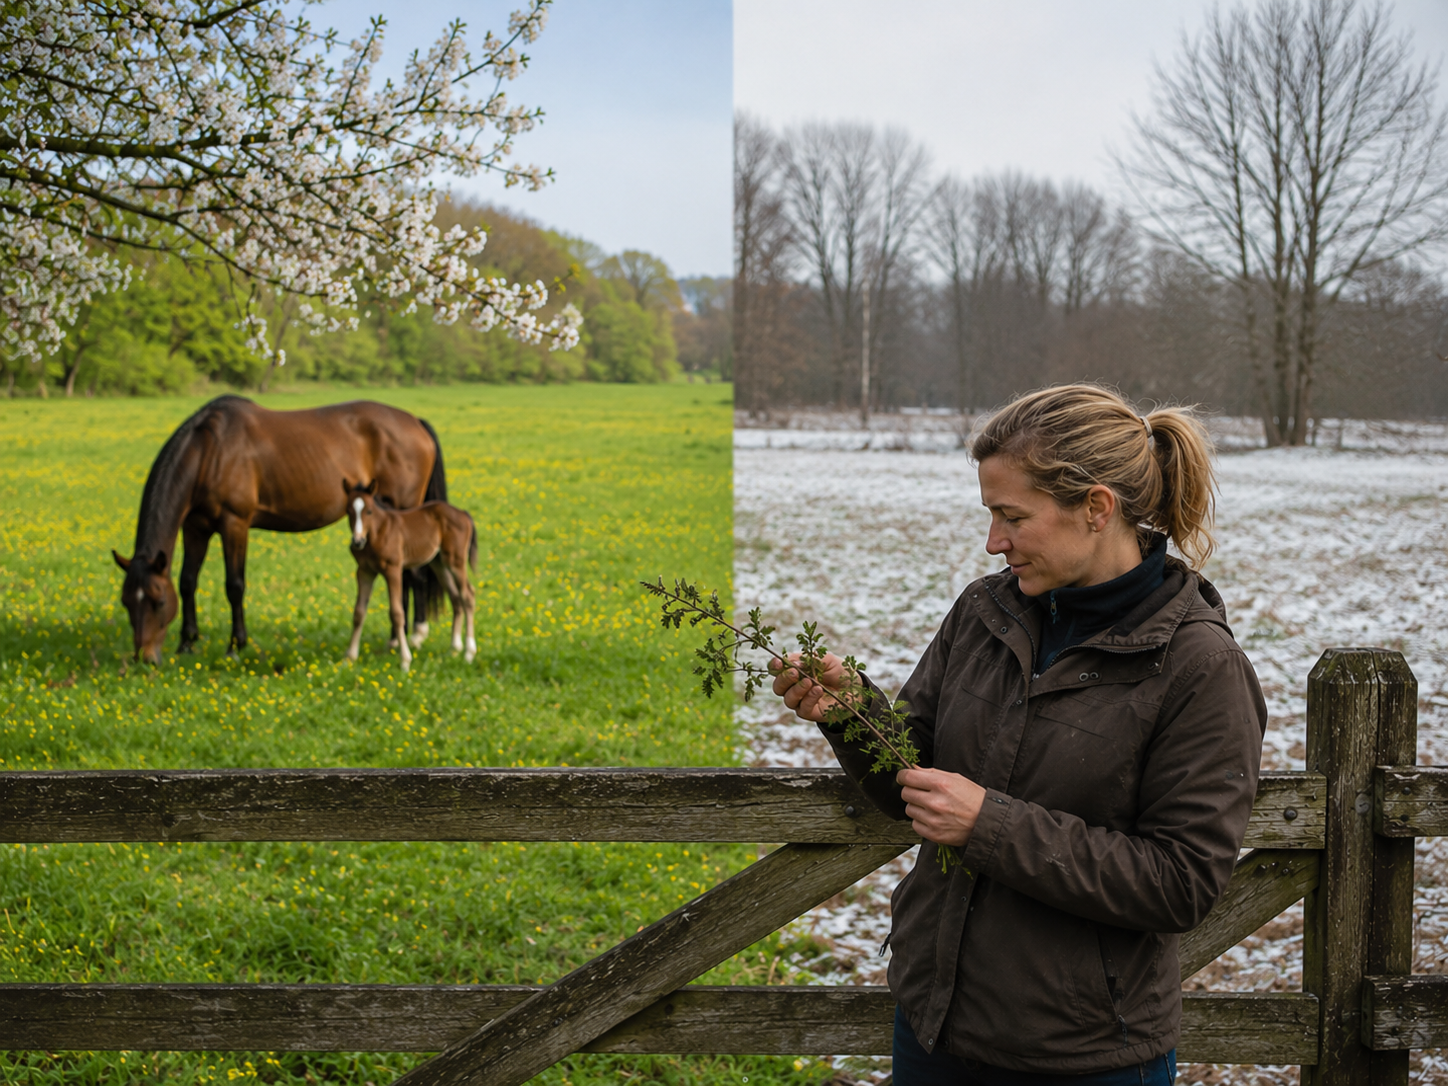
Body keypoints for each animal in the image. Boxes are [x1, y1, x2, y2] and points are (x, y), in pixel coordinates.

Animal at [112, 395, 448, 664]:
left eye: (158, 602)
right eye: (126, 601)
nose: (145, 658)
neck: (211, 450)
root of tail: (415, 422)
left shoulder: (235, 524)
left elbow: (234, 585)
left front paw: (236, 646)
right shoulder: (196, 527)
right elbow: (187, 582)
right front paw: (186, 643)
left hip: (405, 508)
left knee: (413, 573)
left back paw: (415, 635)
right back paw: (396, 638)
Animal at [343, 479, 477, 672]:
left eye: (368, 510)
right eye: (348, 511)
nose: (357, 541)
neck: (378, 532)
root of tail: (463, 513)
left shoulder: (393, 570)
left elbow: (397, 613)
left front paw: (405, 660)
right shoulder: (365, 571)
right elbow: (359, 612)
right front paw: (350, 657)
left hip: (455, 561)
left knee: (468, 595)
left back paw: (469, 653)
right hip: (438, 563)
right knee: (456, 597)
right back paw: (454, 648)